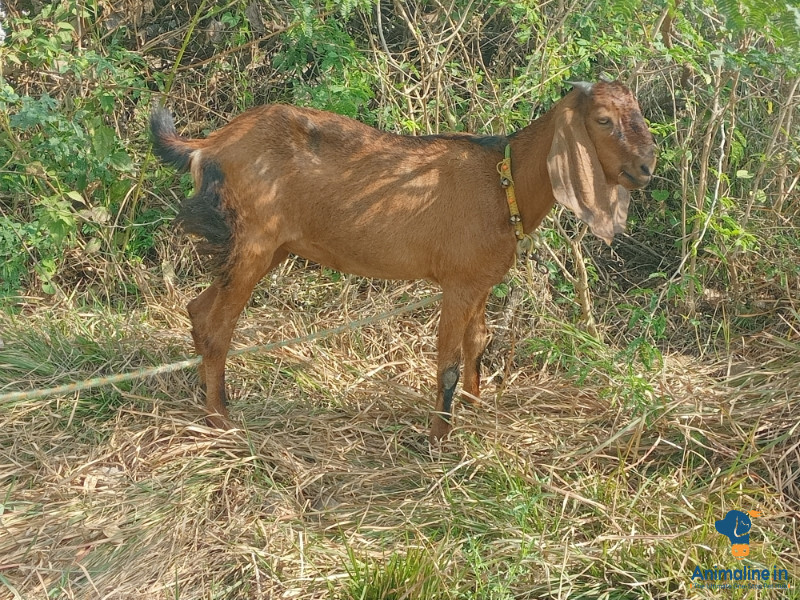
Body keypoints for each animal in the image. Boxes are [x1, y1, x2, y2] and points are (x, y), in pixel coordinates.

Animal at [150, 80, 656, 441]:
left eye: (640, 115)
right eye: (604, 119)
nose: (647, 167)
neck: (503, 180)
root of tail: (210, 144)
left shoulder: (479, 280)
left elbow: (478, 343)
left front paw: (476, 409)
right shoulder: (458, 285)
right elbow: (448, 362)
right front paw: (438, 440)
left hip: (269, 248)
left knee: (199, 310)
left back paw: (210, 403)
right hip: (254, 243)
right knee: (219, 326)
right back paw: (222, 422)